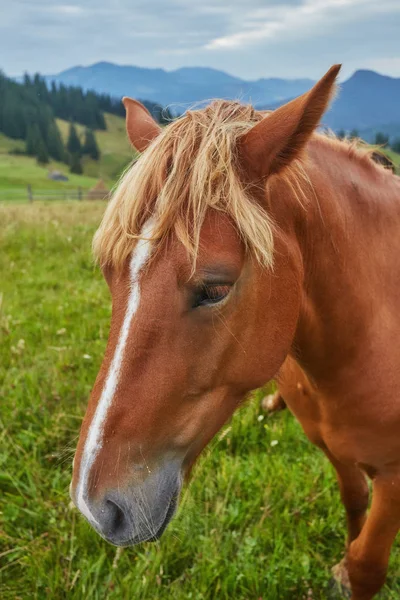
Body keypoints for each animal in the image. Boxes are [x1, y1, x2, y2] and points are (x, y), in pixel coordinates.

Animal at [70, 65, 400, 600]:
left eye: (216, 288)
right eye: (107, 272)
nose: (98, 509)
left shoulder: (393, 477)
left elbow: (367, 565)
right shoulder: (339, 454)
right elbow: (353, 507)